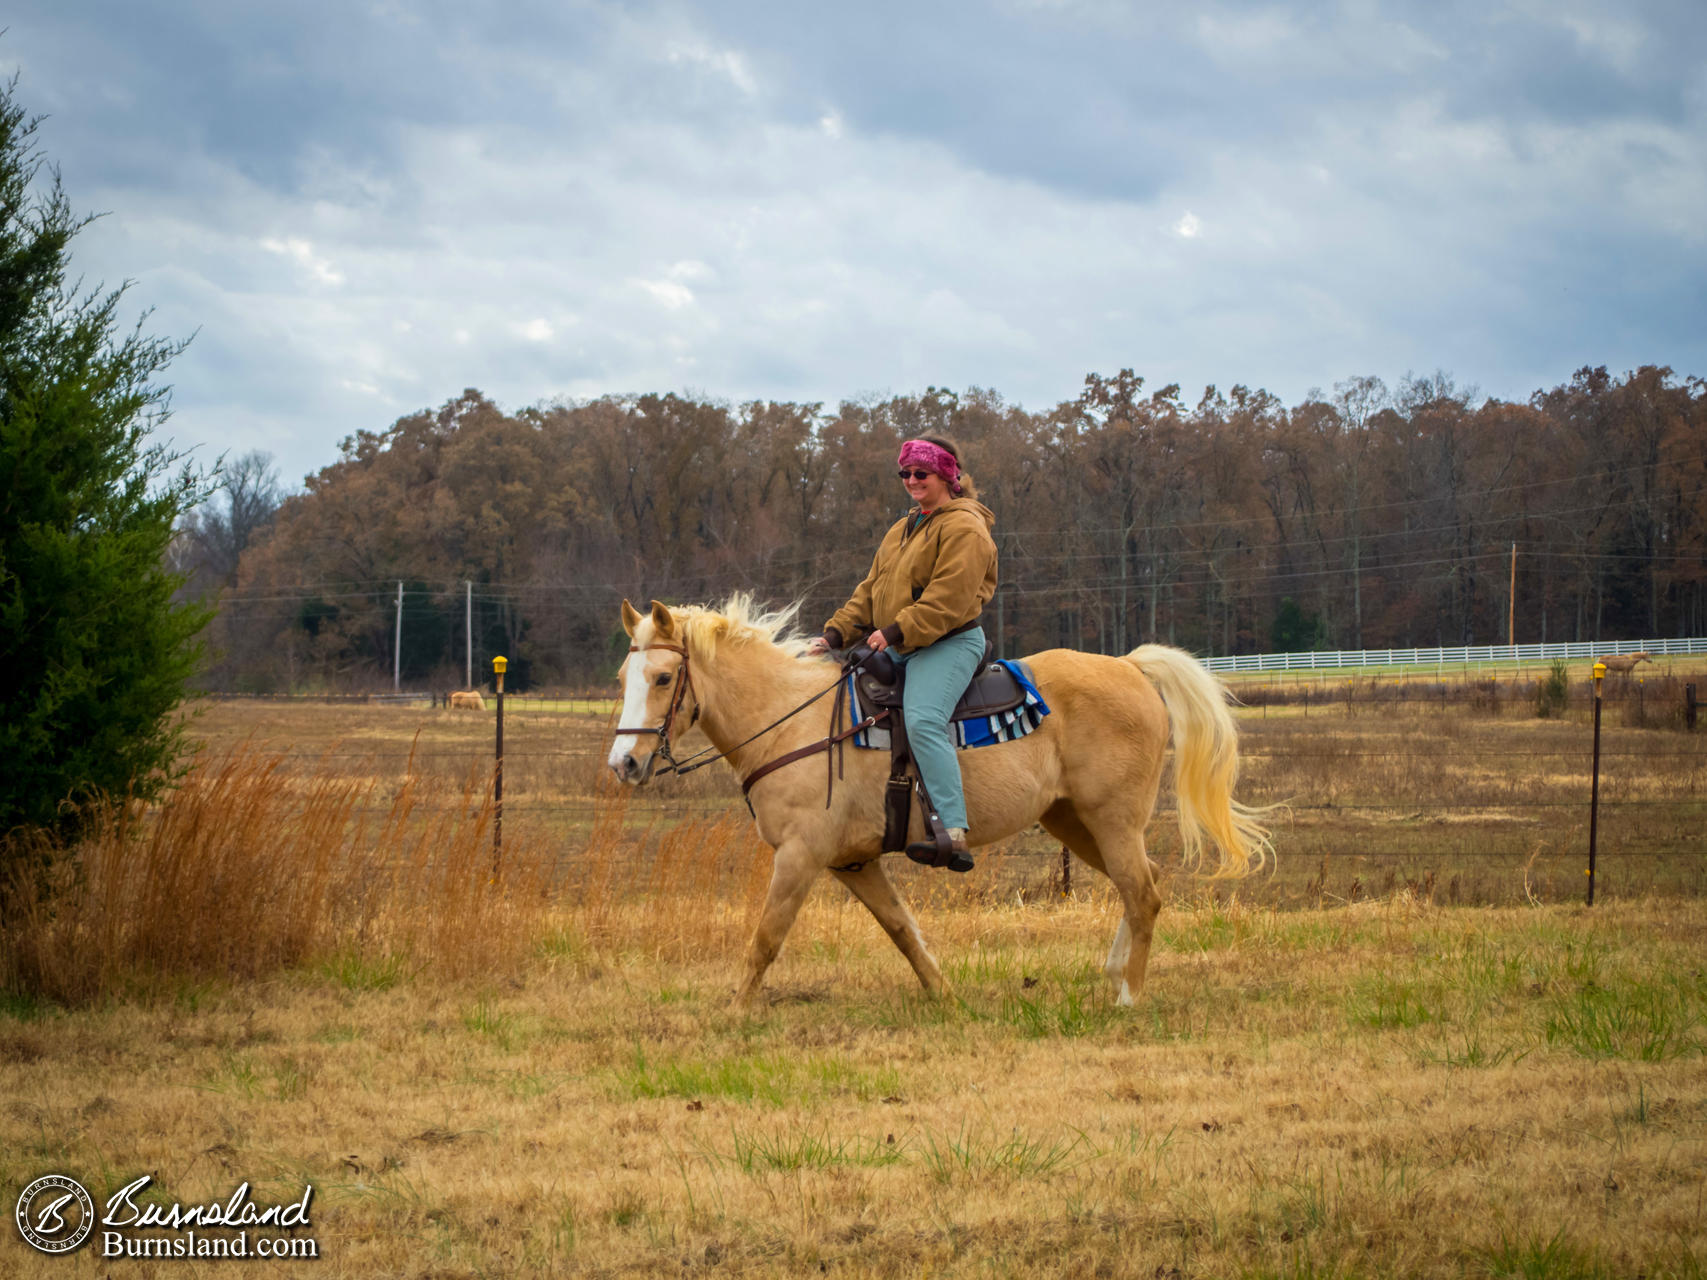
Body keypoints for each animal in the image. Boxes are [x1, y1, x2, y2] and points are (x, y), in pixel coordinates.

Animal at [611, 597, 1270, 1010]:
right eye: (624, 678)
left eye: (665, 678)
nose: (624, 764)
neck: (790, 721)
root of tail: (1131, 667)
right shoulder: (853, 863)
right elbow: (904, 931)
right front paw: (946, 998)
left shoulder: (800, 856)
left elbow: (766, 938)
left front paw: (735, 1012)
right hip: (1073, 821)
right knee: (1141, 885)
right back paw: (1115, 974)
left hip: (1112, 819)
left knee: (1142, 892)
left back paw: (1129, 996)